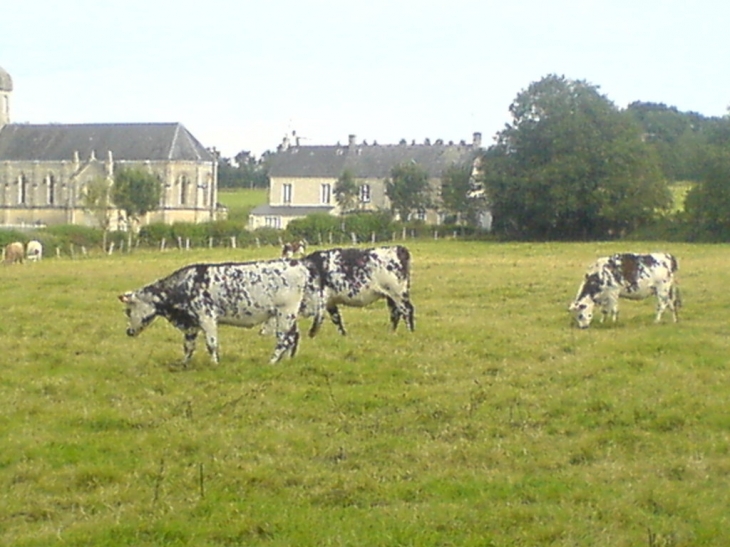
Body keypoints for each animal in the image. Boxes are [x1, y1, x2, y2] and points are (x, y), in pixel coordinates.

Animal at [118, 260, 322, 366]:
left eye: (128, 311)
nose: (128, 331)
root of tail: (297, 264)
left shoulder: (206, 317)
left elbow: (211, 344)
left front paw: (215, 364)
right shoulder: (191, 324)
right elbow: (188, 346)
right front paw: (183, 364)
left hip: (285, 312)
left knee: (284, 339)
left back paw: (271, 361)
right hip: (289, 315)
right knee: (293, 336)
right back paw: (285, 361)